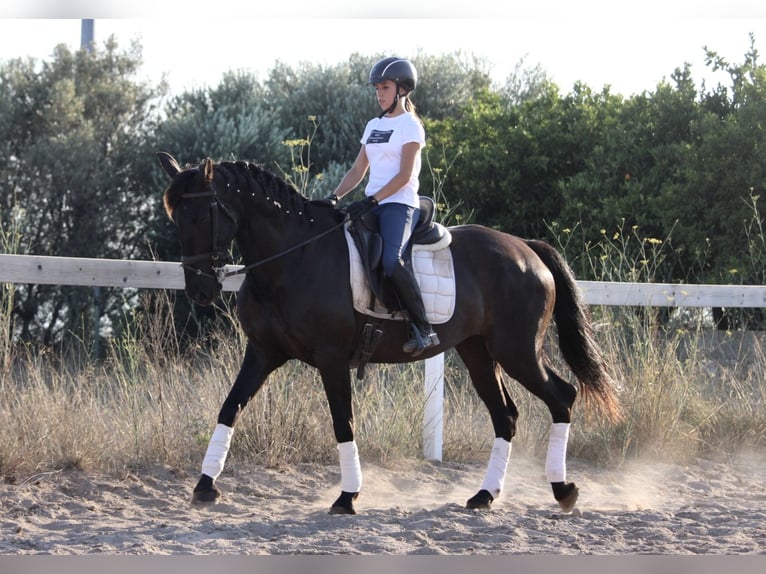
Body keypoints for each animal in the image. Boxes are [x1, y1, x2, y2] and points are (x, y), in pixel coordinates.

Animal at [157, 151, 620, 515]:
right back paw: (485, 496)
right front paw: (204, 486)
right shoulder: (263, 353)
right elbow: (229, 408)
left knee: (562, 396)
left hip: (517, 350)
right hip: (478, 352)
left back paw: (563, 490)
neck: (293, 258)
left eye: (202, 215)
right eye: (175, 219)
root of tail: (527, 249)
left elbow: (343, 423)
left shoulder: (331, 359)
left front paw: (347, 497)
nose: (200, 290)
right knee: (505, 415)